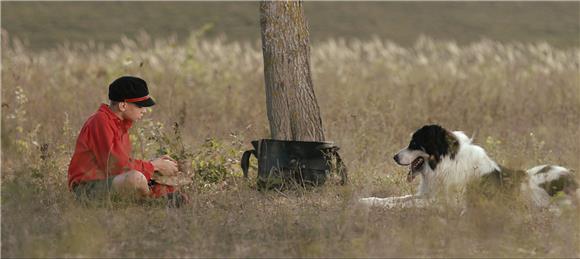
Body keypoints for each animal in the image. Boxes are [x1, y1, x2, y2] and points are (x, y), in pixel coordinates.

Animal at [360, 125, 576, 210]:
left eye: (414, 144)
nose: (394, 157)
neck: (444, 164)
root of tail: (573, 180)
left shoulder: (443, 202)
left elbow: (408, 203)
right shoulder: (428, 194)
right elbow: (398, 198)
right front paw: (367, 200)